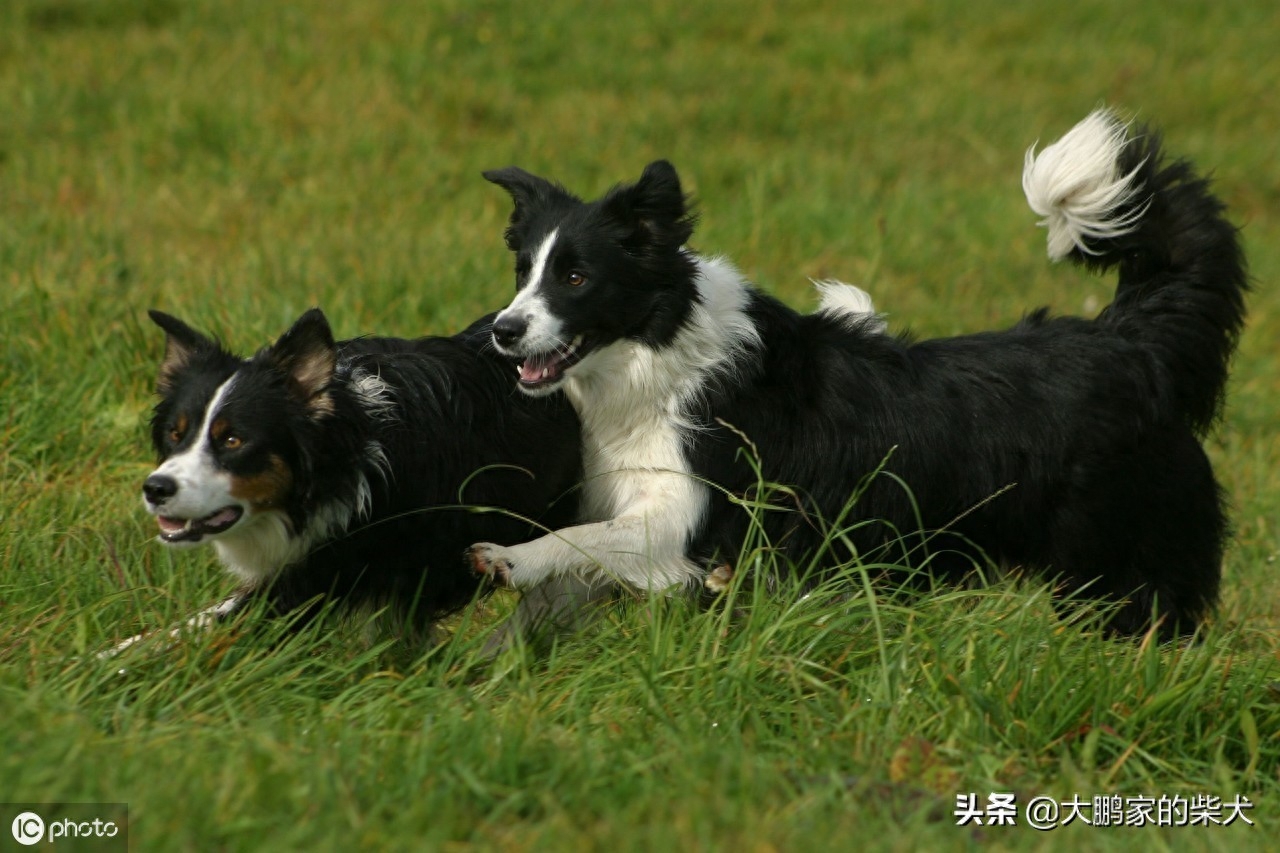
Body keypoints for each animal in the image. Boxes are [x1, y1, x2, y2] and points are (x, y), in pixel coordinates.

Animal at [465, 109, 1244, 635]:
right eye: (523, 272)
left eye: (575, 277)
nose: (504, 331)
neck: (661, 355)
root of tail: (1131, 340)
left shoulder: (689, 516)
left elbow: (582, 540)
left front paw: (509, 556)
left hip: (1122, 563)